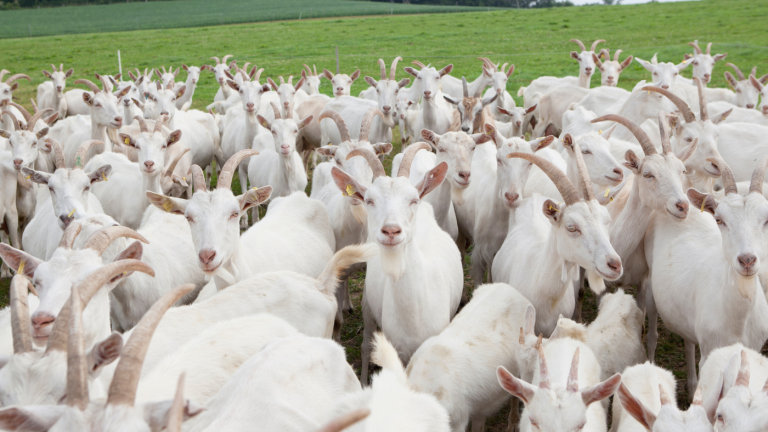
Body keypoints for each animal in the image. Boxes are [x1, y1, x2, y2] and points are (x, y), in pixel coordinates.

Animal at [330, 145, 463, 382]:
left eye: (413, 200)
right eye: (369, 200)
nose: (391, 230)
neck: (414, 317)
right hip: (368, 302)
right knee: (366, 346)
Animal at [644, 156, 768, 398]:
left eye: (767, 219)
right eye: (719, 219)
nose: (747, 260)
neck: (739, 321)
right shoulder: (711, 351)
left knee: (688, 339)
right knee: (652, 332)